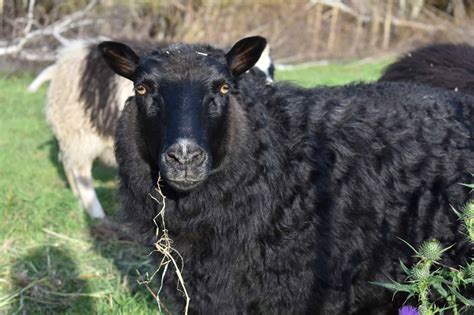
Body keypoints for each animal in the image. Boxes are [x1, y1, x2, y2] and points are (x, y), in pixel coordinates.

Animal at [28, 39, 274, 220]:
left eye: (271, 69)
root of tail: (59, 63)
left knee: (67, 164)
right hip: (79, 133)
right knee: (81, 172)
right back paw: (97, 214)